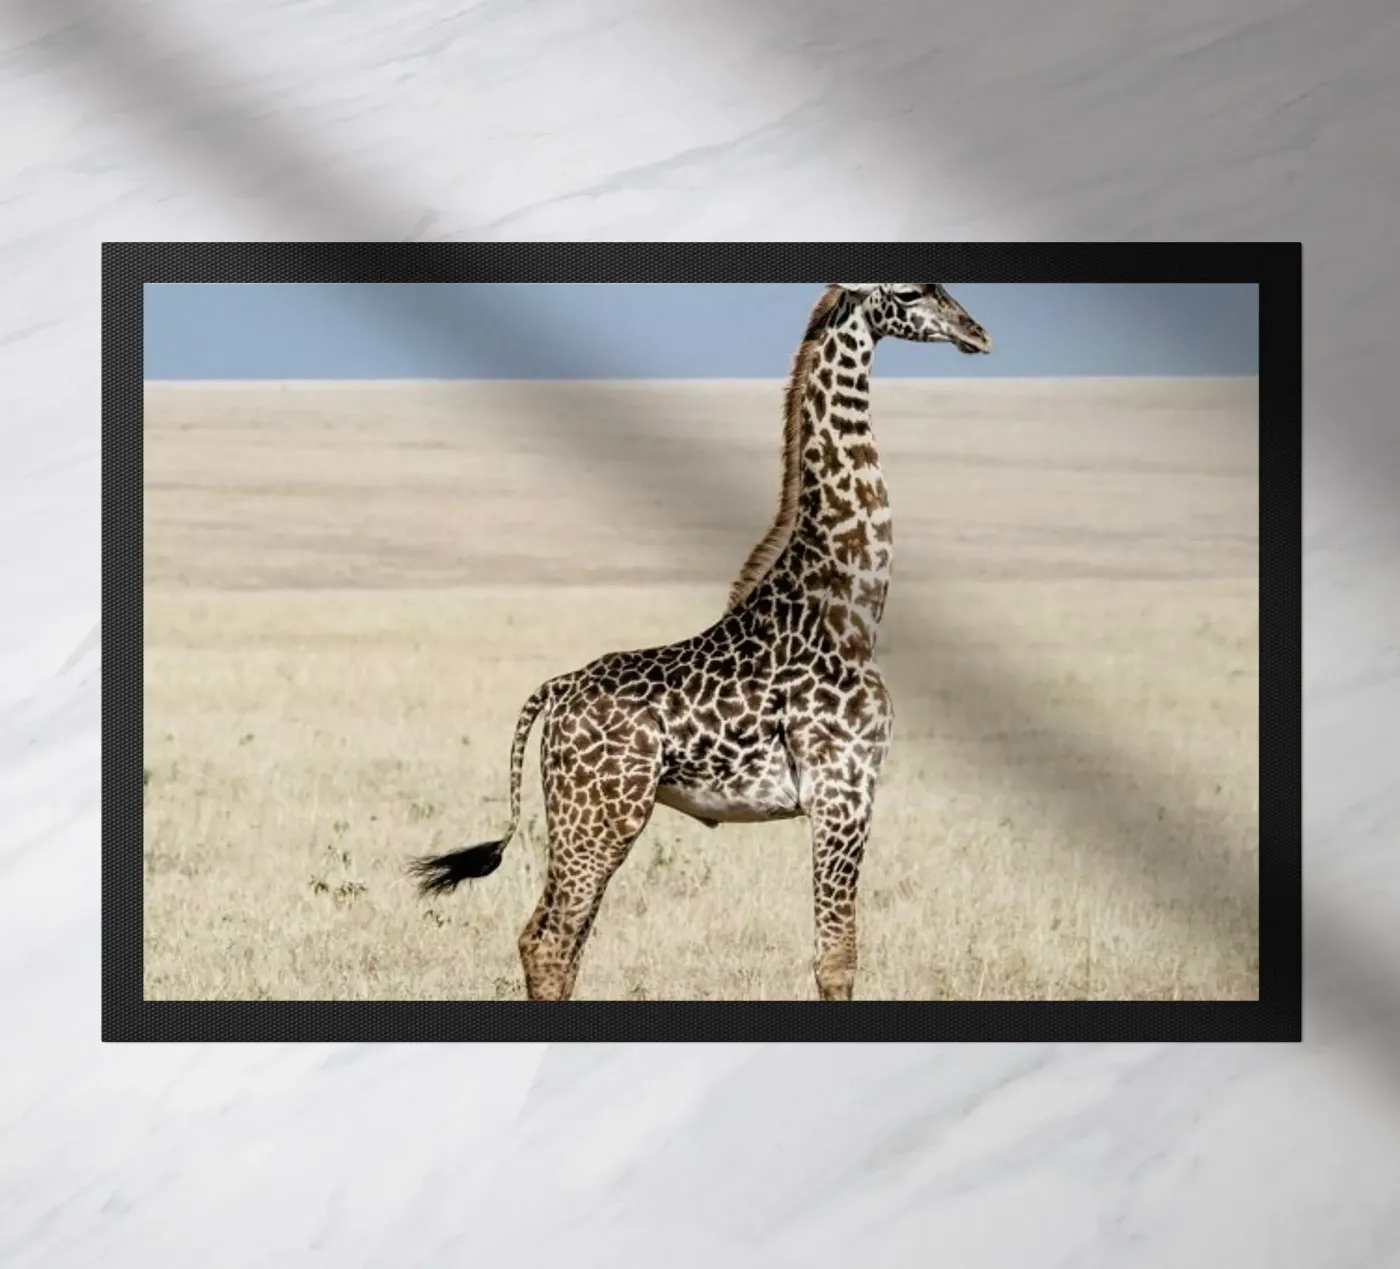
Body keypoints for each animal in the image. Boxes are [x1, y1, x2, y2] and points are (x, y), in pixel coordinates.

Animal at [409, 283, 993, 1001]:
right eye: (910, 292)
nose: (977, 334)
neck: (851, 611)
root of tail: (556, 690)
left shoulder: (844, 794)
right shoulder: (843, 791)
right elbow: (837, 958)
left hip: (587, 815)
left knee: (553, 941)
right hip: (601, 814)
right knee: (548, 941)